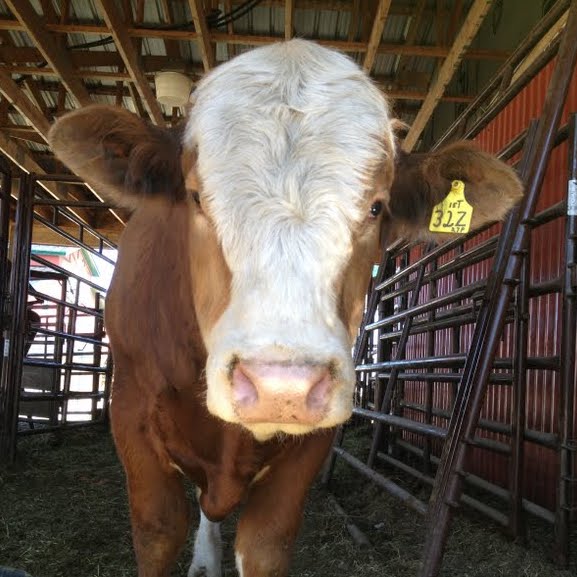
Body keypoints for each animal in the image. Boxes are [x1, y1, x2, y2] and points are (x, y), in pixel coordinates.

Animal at [47, 39, 520, 576]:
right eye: (195, 197)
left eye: (376, 207)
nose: (281, 387)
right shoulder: (130, 412)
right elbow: (158, 531)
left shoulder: (310, 446)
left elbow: (264, 545)